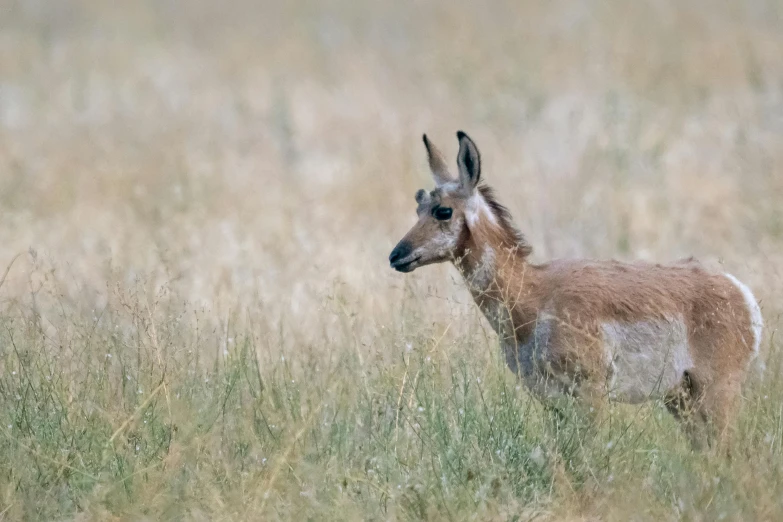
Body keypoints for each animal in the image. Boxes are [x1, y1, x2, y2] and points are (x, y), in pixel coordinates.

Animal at [392, 130, 764, 446]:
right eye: (418, 203)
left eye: (443, 210)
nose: (396, 255)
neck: (535, 295)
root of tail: (737, 290)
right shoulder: (551, 400)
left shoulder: (591, 395)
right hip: (681, 398)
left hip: (715, 394)